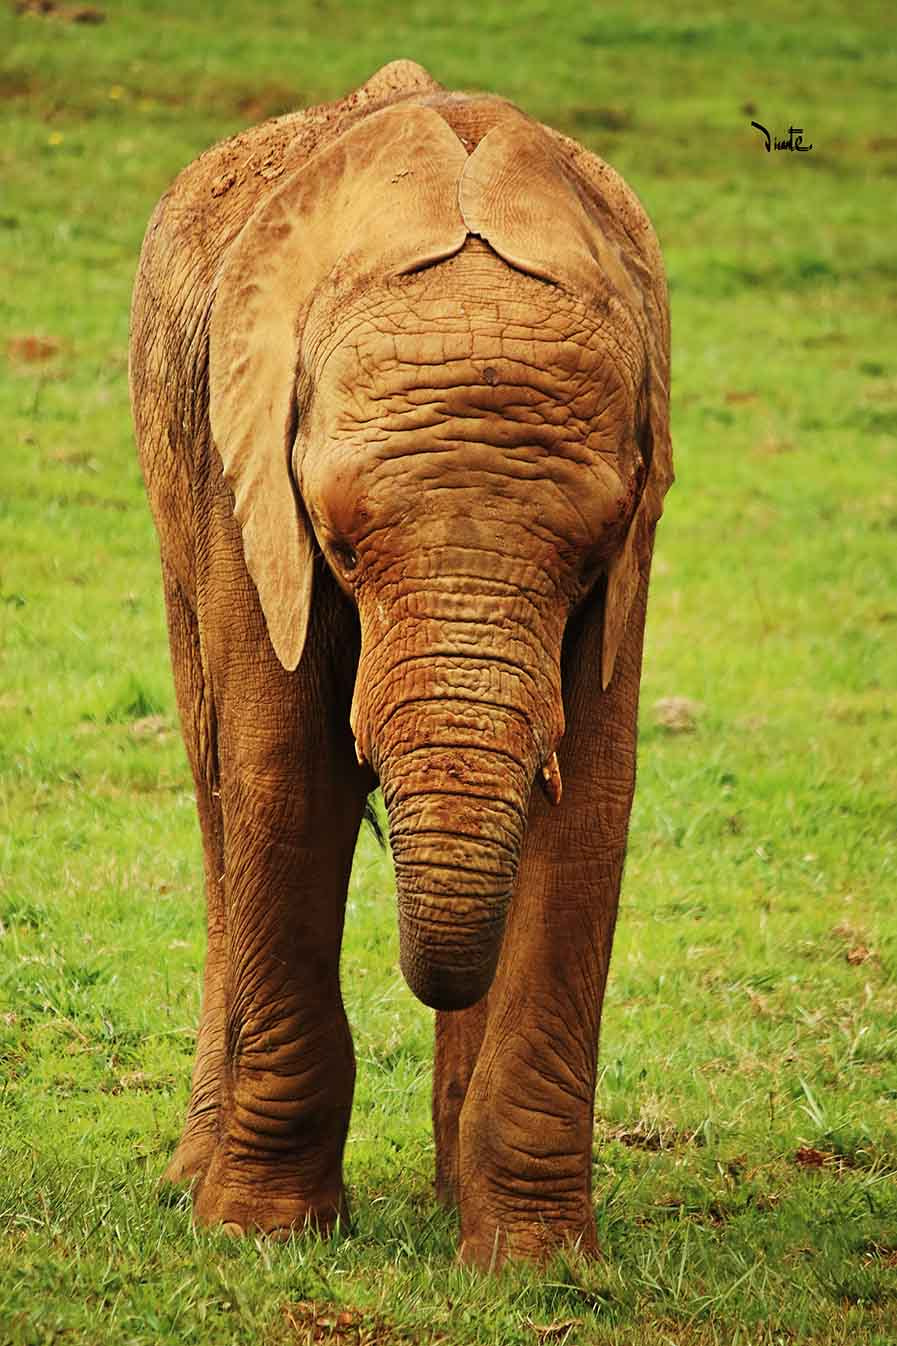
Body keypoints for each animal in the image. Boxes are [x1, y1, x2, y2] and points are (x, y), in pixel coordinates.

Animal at [129, 58, 672, 1269]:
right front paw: (261, 1236)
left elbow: (591, 801)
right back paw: (193, 1181)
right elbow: (285, 777)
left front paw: (536, 1268)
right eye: (337, 540)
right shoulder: (248, 495)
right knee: (216, 789)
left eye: (592, 553)